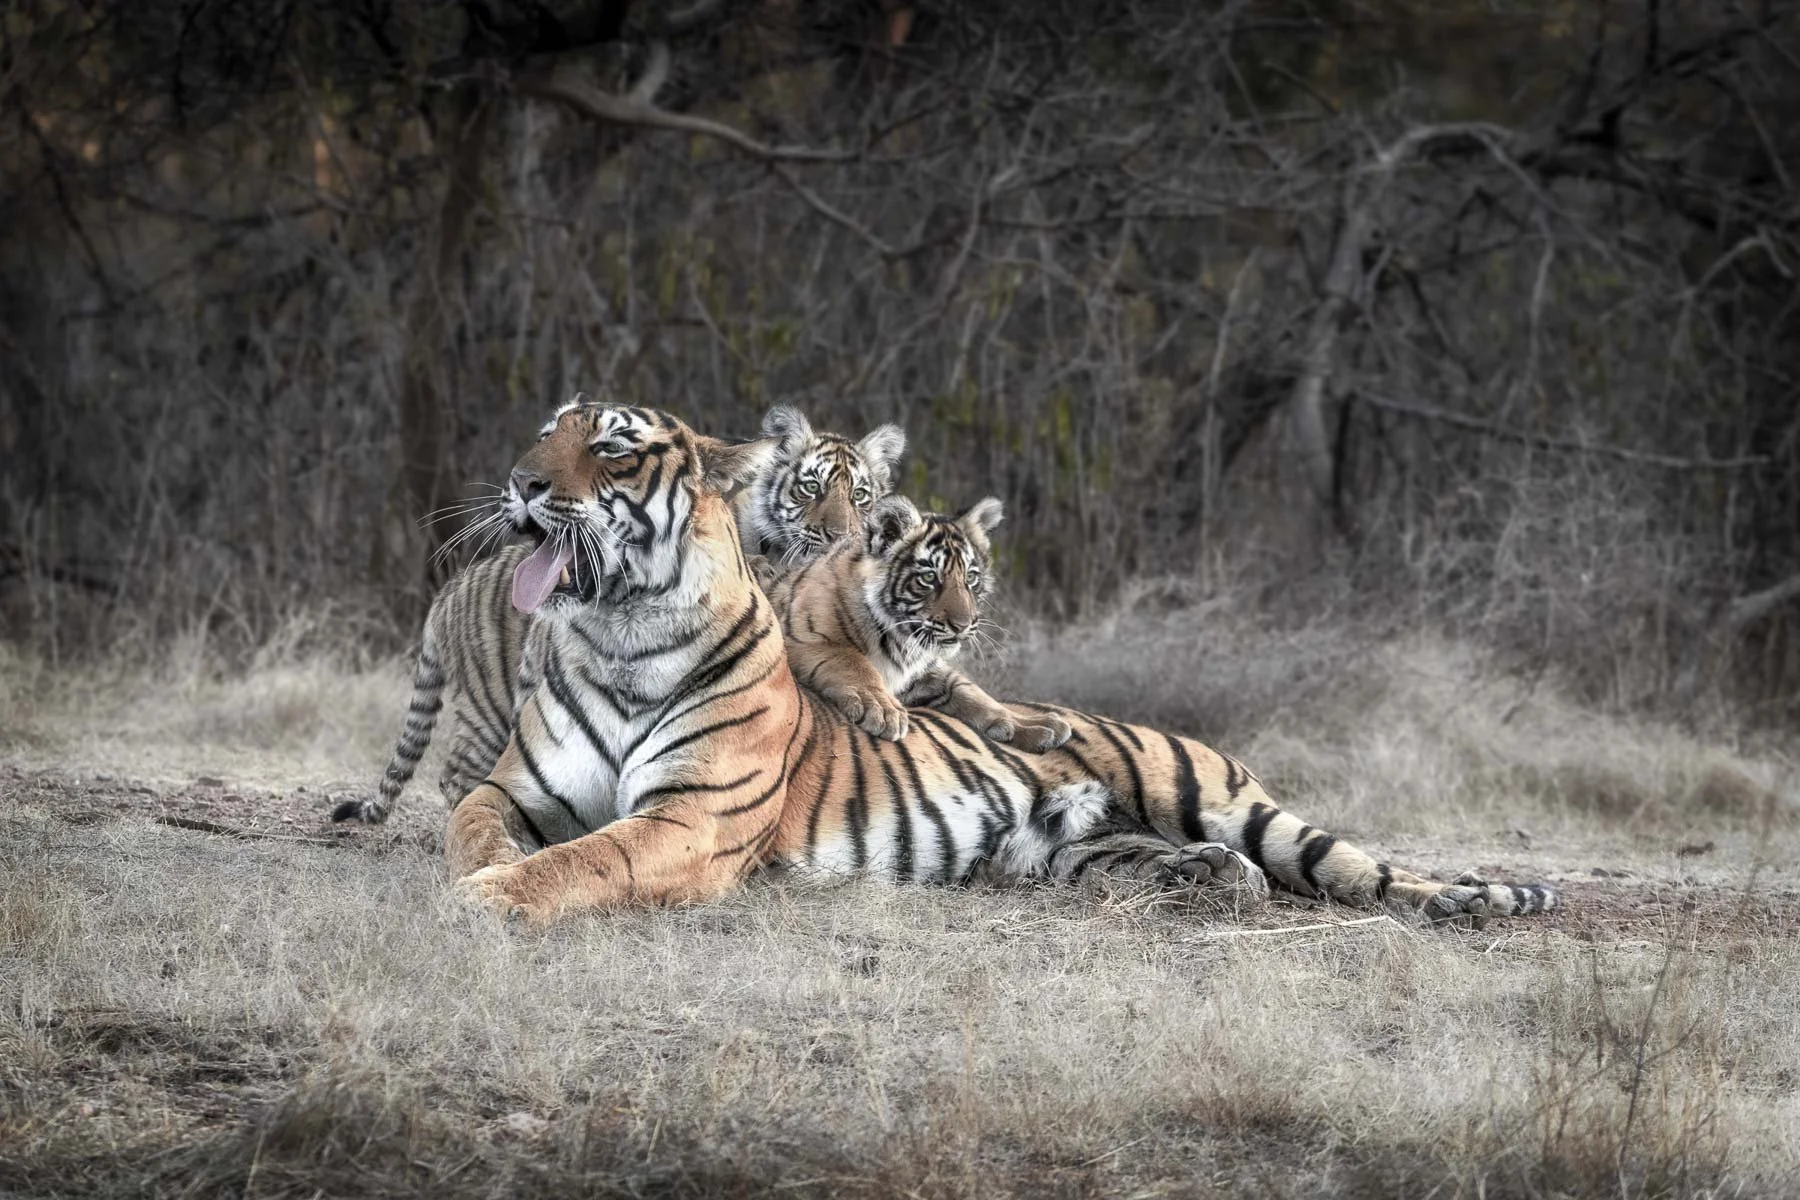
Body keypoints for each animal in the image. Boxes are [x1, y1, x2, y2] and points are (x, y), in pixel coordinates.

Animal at [333, 400, 908, 826]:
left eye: (860, 495)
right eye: (810, 487)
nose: (521, 481)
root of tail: (449, 590)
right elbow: (839, 656)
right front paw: (881, 707)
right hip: (487, 711)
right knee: (460, 775)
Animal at [758, 492, 1072, 754]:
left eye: (970, 577)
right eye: (929, 577)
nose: (962, 625)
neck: (901, 639)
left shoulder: (924, 671)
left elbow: (971, 692)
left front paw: (1030, 724)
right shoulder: (802, 638)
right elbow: (853, 662)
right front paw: (883, 710)